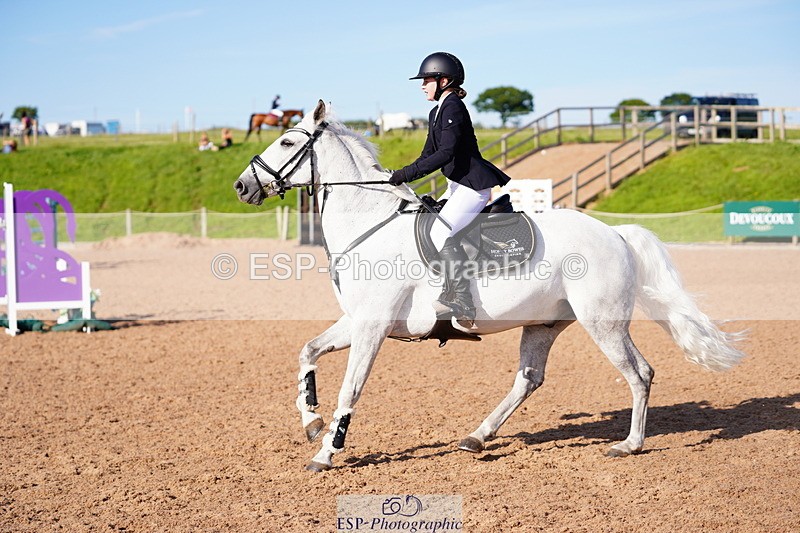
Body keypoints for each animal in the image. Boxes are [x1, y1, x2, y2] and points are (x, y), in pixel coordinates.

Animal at [233, 100, 746, 472]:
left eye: (286, 140)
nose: (241, 187)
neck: (371, 223)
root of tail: (615, 233)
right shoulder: (357, 321)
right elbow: (308, 351)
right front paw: (311, 422)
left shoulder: (372, 327)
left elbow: (351, 389)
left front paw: (325, 453)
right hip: (544, 323)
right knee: (529, 379)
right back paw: (478, 436)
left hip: (603, 323)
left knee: (639, 373)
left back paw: (630, 445)